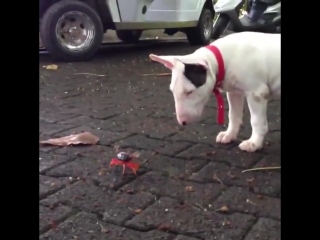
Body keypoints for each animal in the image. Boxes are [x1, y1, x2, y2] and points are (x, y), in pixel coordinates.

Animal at [149, 31, 280, 152]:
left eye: (189, 92)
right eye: (172, 91)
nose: (182, 122)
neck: (223, 58)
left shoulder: (257, 93)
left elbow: (256, 120)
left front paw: (254, 143)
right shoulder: (234, 93)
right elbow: (233, 115)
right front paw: (229, 135)